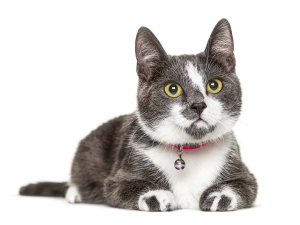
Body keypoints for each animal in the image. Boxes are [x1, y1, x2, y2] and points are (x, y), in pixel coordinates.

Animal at [19, 18, 258, 211]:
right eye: (173, 89)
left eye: (214, 85)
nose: (198, 105)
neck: (188, 149)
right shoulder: (118, 175)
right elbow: (121, 187)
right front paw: (156, 195)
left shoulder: (245, 173)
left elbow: (245, 186)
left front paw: (219, 195)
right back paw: (75, 192)